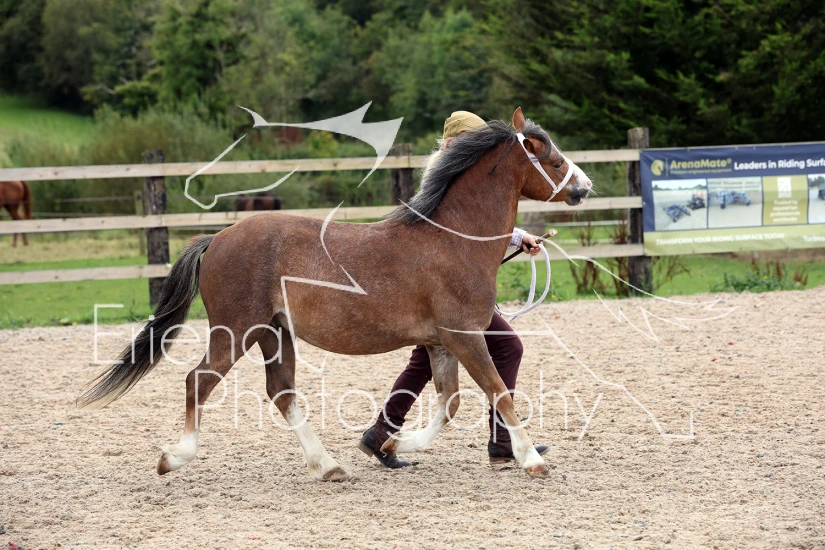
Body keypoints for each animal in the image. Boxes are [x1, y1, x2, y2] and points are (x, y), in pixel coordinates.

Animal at [78, 108, 592, 481]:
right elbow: (499, 392)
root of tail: (217, 239)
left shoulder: (441, 342)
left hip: (274, 333)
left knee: (281, 393)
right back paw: (174, 457)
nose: (585, 187)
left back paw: (328, 466)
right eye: (552, 160)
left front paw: (393, 444)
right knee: (198, 380)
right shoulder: (464, 336)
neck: (453, 238)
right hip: (236, 330)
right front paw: (532, 460)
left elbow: (450, 403)